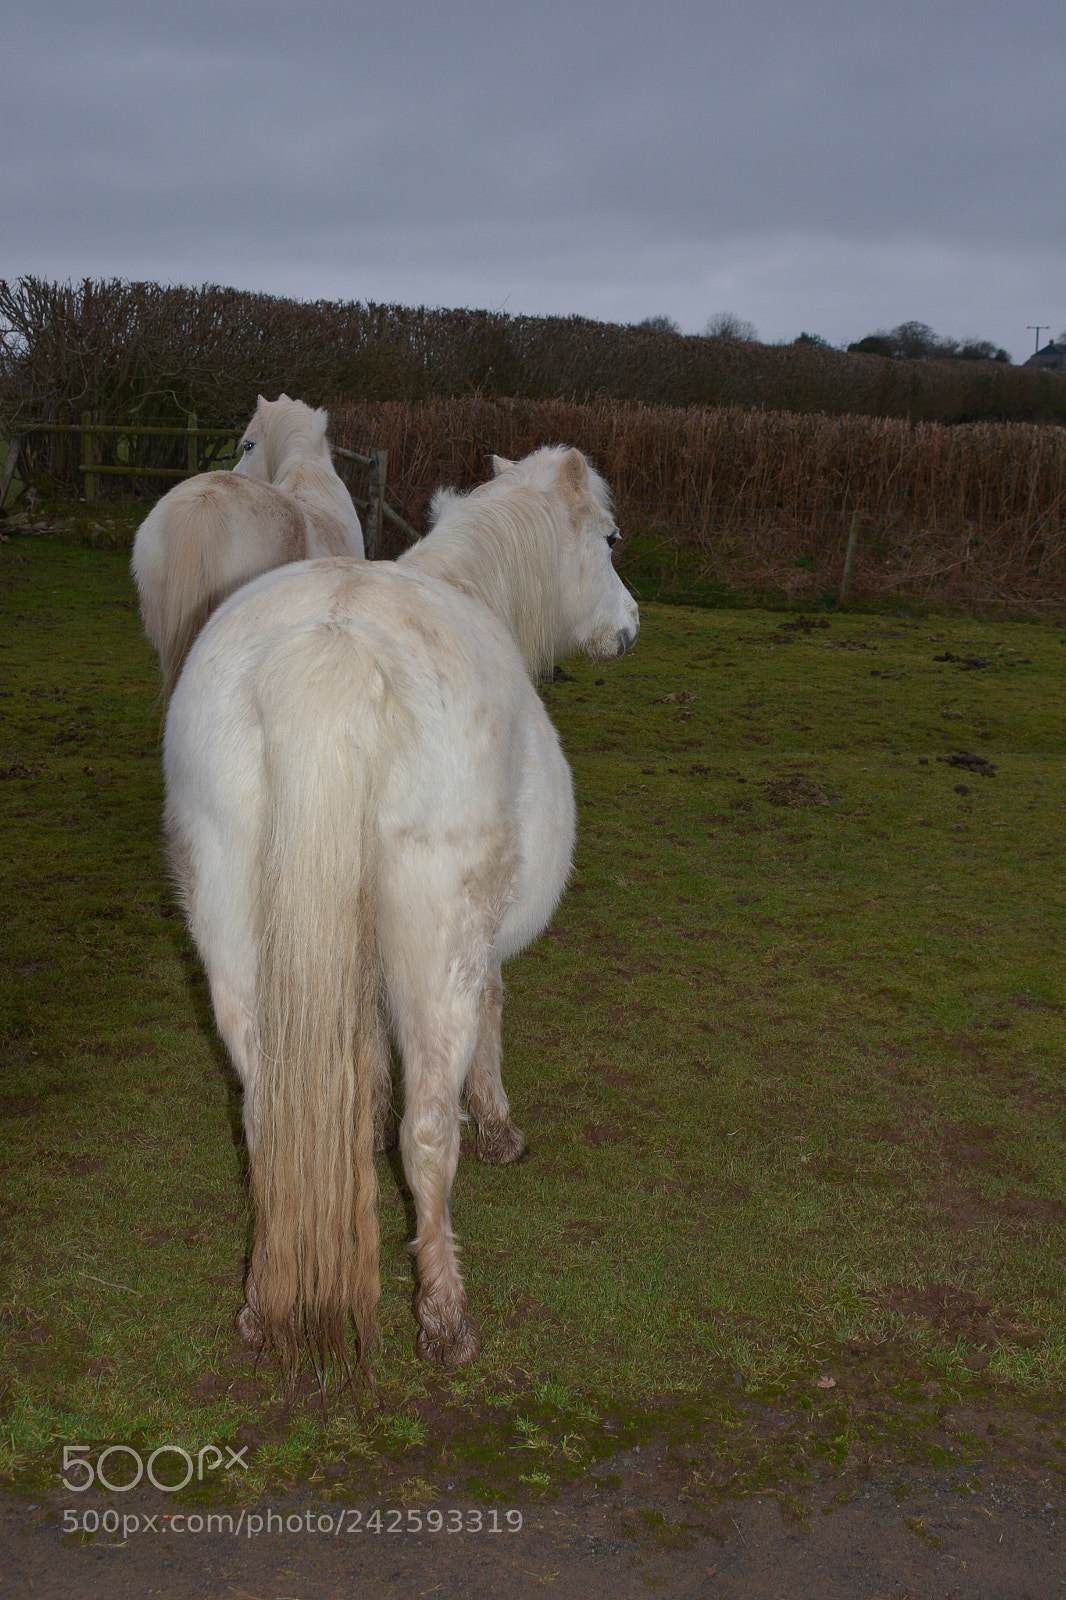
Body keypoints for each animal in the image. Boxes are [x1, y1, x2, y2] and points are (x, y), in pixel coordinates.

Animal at [162, 444, 639, 1385]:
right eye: (607, 537)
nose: (630, 626)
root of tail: (332, 646)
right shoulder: (478, 946)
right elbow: (489, 1016)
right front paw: (497, 1126)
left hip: (237, 945)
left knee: (266, 1115)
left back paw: (260, 1306)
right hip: (436, 941)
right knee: (427, 1136)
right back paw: (445, 1316)